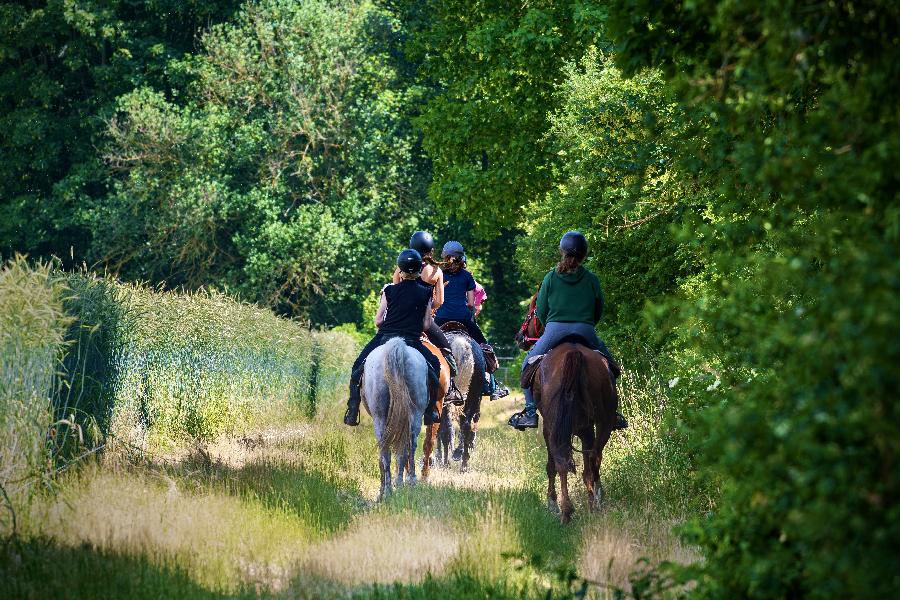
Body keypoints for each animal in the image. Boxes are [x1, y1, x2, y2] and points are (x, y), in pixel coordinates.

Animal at [360, 336, 428, 500]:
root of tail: (396, 346)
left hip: (382, 417)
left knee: (390, 450)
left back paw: (392, 488)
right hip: (413, 415)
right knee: (406, 447)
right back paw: (402, 485)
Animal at [536, 340, 620, 524]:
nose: (519, 338)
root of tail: (573, 352)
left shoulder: (549, 429)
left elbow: (551, 466)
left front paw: (552, 503)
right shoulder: (585, 429)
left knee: (564, 463)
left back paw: (568, 511)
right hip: (605, 421)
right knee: (594, 457)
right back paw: (591, 504)